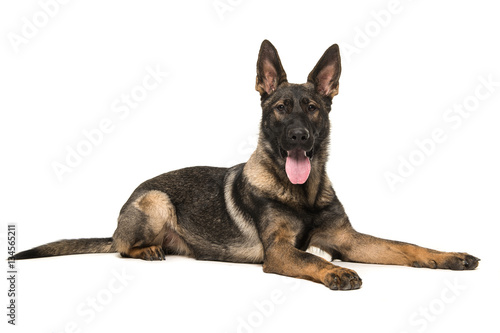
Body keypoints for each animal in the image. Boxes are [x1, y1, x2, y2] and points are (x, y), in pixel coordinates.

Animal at [13, 39, 478, 288]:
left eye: (312, 109)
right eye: (280, 109)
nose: (299, 137)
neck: (302, 194)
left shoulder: (348, 240)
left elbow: (407, 246)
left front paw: (450, 256)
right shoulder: (280, 252)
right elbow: (313, 258)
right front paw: (335, 273)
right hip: (156, 201)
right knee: (122, 247)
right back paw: (147, 249)